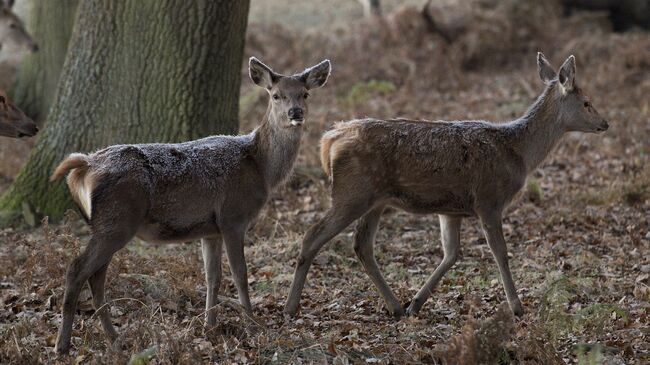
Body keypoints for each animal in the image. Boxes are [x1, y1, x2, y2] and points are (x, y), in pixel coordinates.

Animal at [49, 57, 330, 352]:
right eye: (276, 95)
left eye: (305, 94)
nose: (296, 112)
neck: (260, 167)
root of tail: (87, 164)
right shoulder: (233, 217)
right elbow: (240, 275)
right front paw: (253, 326)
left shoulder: (211, 230)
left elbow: (213, 278)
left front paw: (210, 327)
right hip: (116, 222)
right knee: (77, 269)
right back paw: (62, 345)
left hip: (109, 225)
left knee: (96, 276)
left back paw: (114, 339)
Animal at [282, 52, 608, 318]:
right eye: (586, 102)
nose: (605, 123)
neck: (518, 152)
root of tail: (329, 140)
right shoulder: (489, 199)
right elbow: (500, 253)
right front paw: (516, 308)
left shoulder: (451, 210)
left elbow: (451, 254)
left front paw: (416, 303)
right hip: (352, 192)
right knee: (312, 235)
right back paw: (290, 307)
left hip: (375, 199)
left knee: (362, 245)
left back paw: (395, 306)